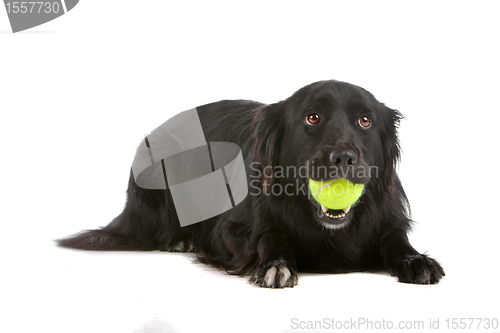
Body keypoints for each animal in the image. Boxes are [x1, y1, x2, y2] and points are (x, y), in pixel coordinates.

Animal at [58, 80, 446, 286]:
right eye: (312, 118)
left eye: (365, 120)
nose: (344, 158)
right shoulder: (231, 229)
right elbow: (267, 236)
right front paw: (276, 263)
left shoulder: (387, 221)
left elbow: (395, 239)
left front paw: (416, 260)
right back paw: (178, 239)